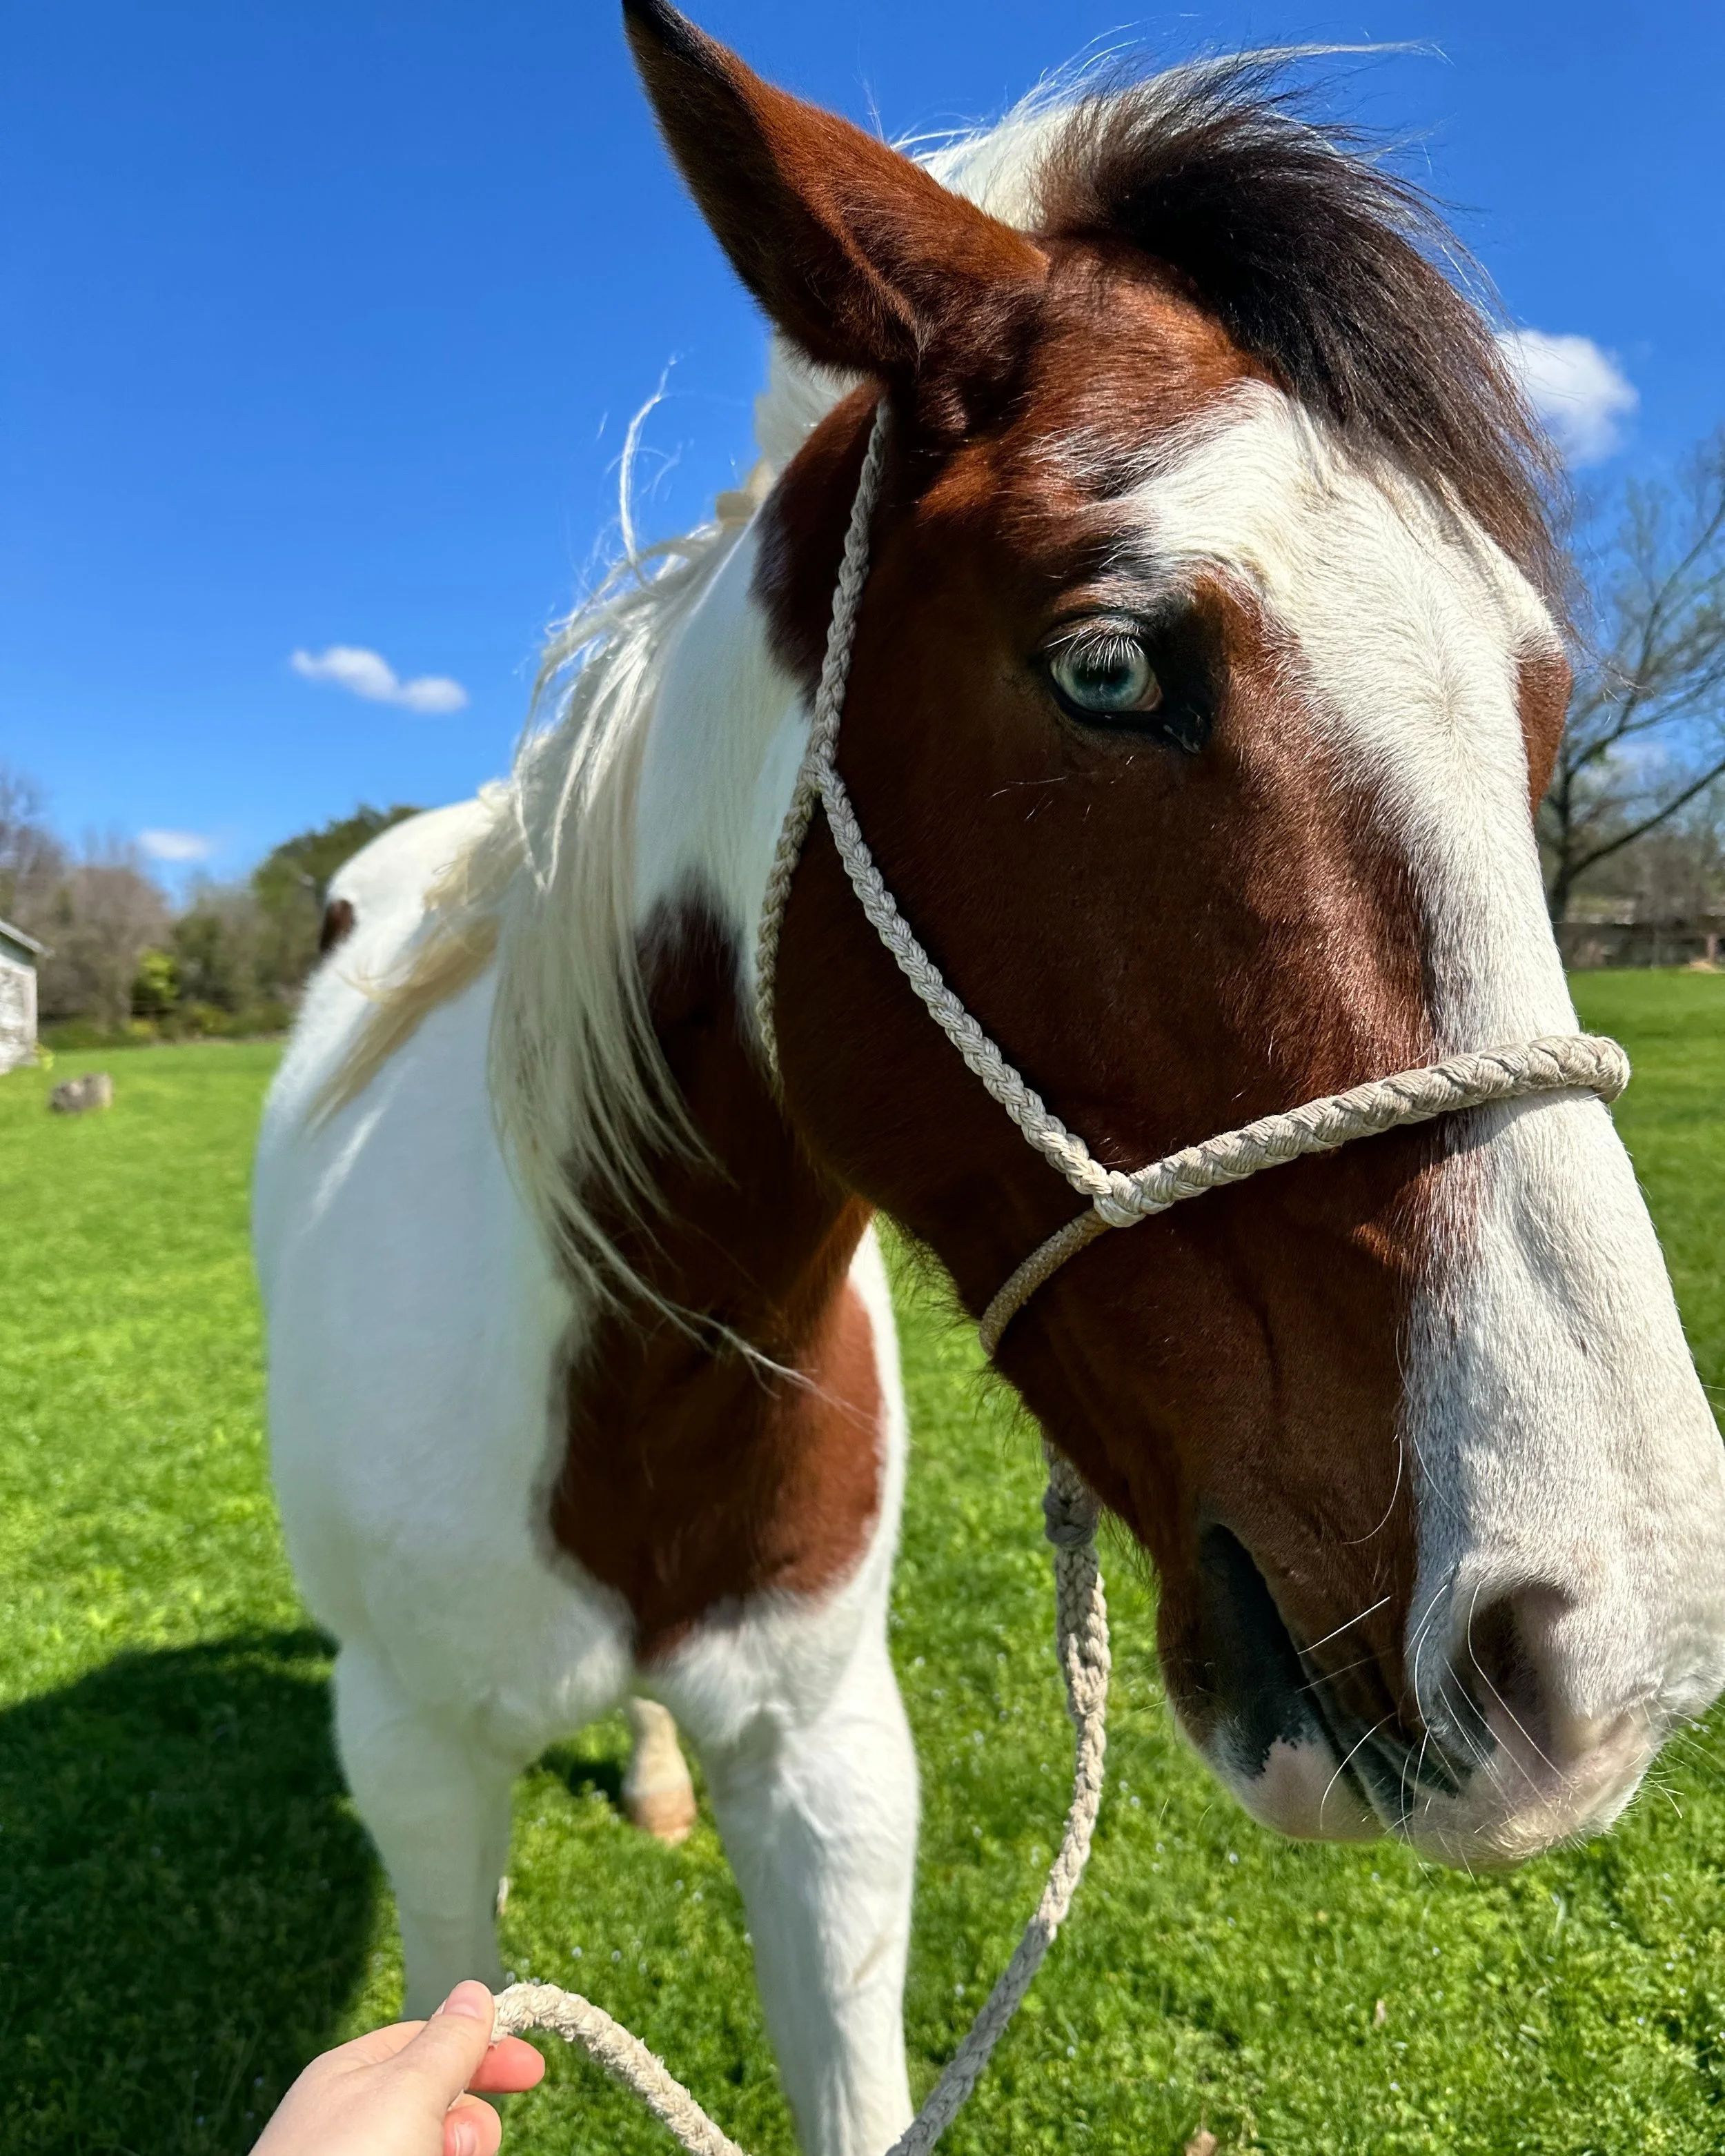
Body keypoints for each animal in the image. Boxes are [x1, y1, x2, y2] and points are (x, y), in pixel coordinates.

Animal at [252, 6, 1725, 2150]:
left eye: (1541, 706)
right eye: (1108, 666)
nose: (1617, 1642)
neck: (620, 1394)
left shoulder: (837, 1769)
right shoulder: (420, 1777)